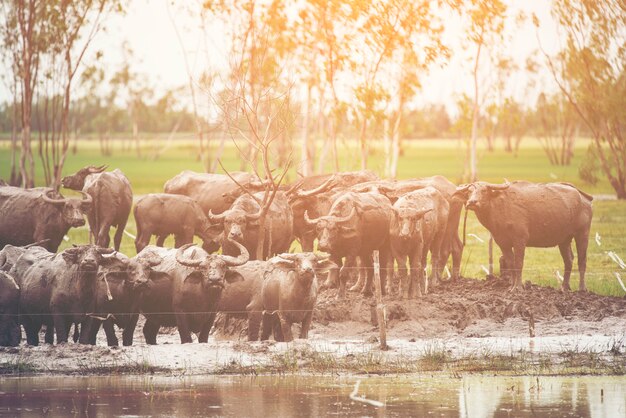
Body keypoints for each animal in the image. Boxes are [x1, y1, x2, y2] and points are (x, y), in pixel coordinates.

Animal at [454, 181, 588, 292]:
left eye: (484, 191)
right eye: (469, 192)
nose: (472, 202)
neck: (500, 209)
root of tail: (583, 197)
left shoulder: (520, 240)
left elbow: (519, 263)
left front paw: (518, 287)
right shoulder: (503, 243)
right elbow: (511, 263)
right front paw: (511, 286)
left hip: (582, 234)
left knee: (582, 260)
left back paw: (582, 288)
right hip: (564, 240)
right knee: (568, 260)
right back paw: (564, 287)